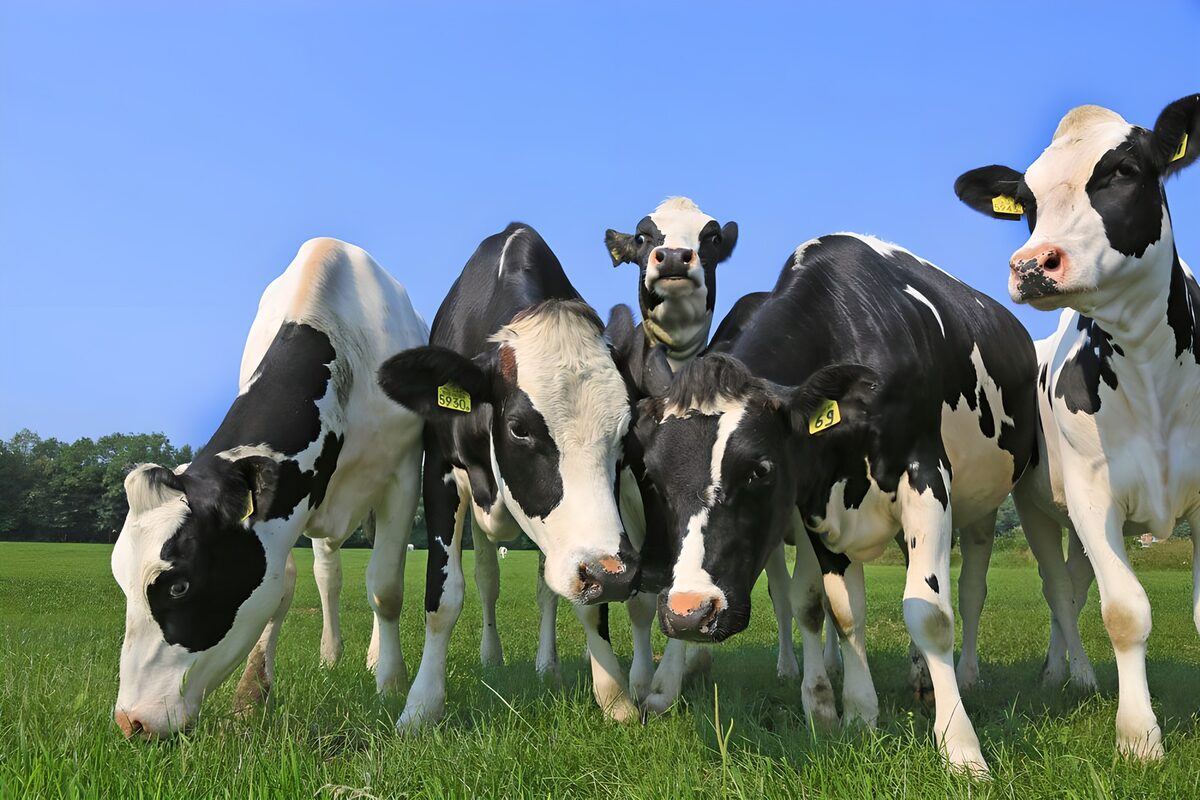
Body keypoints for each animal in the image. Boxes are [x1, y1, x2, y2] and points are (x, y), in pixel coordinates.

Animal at [110, 238, 428, 738]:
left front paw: (392, 683)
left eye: (179, 586)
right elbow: (283, 586)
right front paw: (251, 695)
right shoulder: (287, 504)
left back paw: (375, 657)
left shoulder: (402, 474)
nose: (130, 721)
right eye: (119, 578)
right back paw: (330, 655)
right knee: (329, 576)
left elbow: (386, 588)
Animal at [376, 223, 663, 728]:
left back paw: (558, 666)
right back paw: (493, 656)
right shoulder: (440, 472)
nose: (609, 574)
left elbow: (590, 608)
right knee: (489, 580)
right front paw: (421, 706)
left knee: (552, 589)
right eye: (519, 428)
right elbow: (444, 597)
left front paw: (615, 697)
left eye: (625, 432)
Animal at [632, 233, 1038, 774]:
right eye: (654, 475)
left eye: (761, 469)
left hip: (989, 503)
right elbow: (843, 611)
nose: (688, 613)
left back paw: (967, 676)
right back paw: (919, 678)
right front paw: (859, 714)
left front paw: (962, 749)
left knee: (972, 591)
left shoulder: (926, 474)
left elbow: (930, 613)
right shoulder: (818, 505)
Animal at [954, 94, 1200, 760]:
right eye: (1026, 202)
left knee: (1073, 581)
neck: (1151, 368)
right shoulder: (1094, 492)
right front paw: (1138, 737)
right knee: (1052, 588)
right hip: (1035, 507)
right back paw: (1070, 677)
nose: (1033, 265)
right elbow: (1125, 610)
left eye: (1123, 170)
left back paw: (1062, 669)